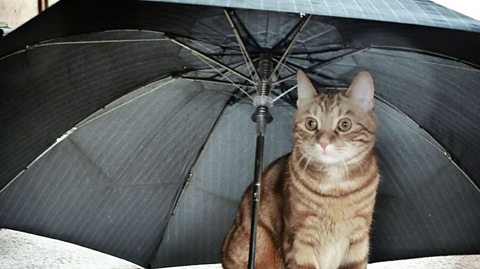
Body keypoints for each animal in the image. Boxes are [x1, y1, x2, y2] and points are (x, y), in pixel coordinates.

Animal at [220, 69, 378, 268]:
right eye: (311, 124)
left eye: (345, 124)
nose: (323, 142)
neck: (335, 188)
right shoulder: (300, 239)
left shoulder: (358, 240)